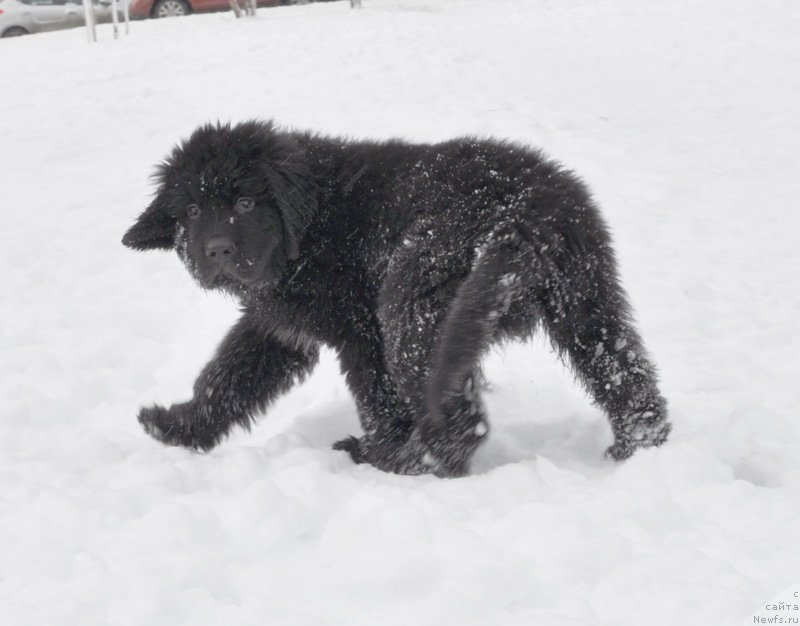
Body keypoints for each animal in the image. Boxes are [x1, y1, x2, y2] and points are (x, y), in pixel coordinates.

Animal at [120, 119, 668, 476]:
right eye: (192, 210)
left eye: (247, 202)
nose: (216, 250)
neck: (311, 224)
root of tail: (522, 208)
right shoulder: (278, 327)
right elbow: (227, 376)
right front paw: (178, 426)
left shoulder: (360, 331)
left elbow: (377, 399)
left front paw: (379, 451)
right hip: (585, 298)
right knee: (625, 376)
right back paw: (639, 448)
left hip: (412, 298)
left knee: (459, 415)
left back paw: (404, 462)